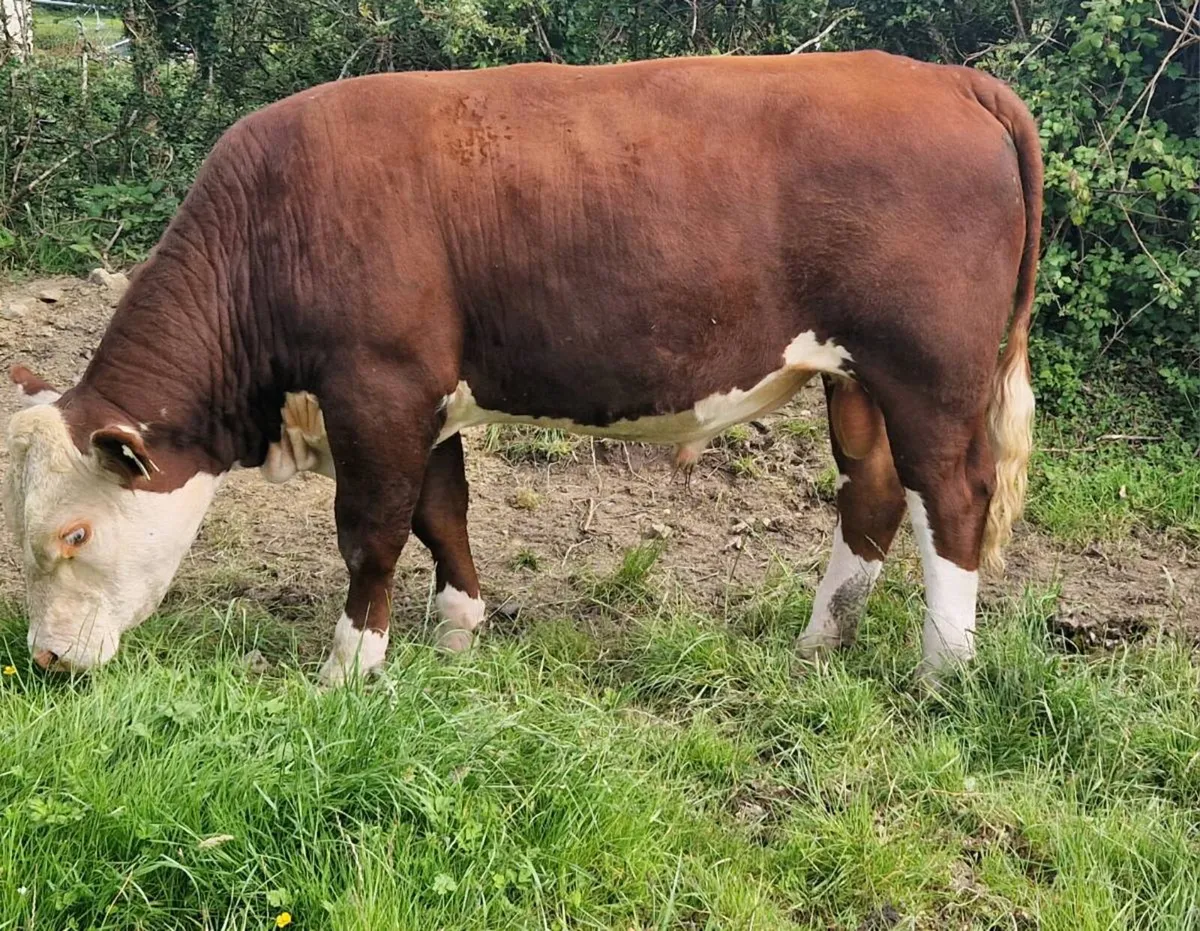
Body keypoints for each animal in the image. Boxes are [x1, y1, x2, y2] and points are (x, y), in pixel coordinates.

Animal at [4, 50, 1042, 685]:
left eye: (74, 534)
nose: (44, 661)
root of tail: (950, 81)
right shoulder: (422, 391)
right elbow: (441, 509)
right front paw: (458, 627)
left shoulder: (376, 385)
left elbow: (372, 531)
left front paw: (350, 667)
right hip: (855, 375)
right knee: (871, 491)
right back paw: (821, 640)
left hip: (929, 373)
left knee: (952, 497)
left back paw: (942, 668)